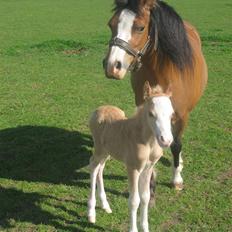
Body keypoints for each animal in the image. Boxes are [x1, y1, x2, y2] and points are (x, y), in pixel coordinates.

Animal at [88, 82, 174, 231]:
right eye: (151, 114)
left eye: (172, 114)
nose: (166, 140)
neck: (147, 142)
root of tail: (98, 109)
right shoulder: (132, 168)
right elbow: (134, 201)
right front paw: (133, 229)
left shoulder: (148, 168)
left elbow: (145, 197)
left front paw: (145, 228)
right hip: (99, 148)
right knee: (93, 167)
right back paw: (91, 213)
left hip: (107, 151)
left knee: (100, 168)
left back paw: (105, 205)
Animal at [102, 0, 208, 198]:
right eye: (111, 24)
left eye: (140, 27)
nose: (112, 66)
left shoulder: (180, 116)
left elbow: (176, 145)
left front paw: (176, 179)